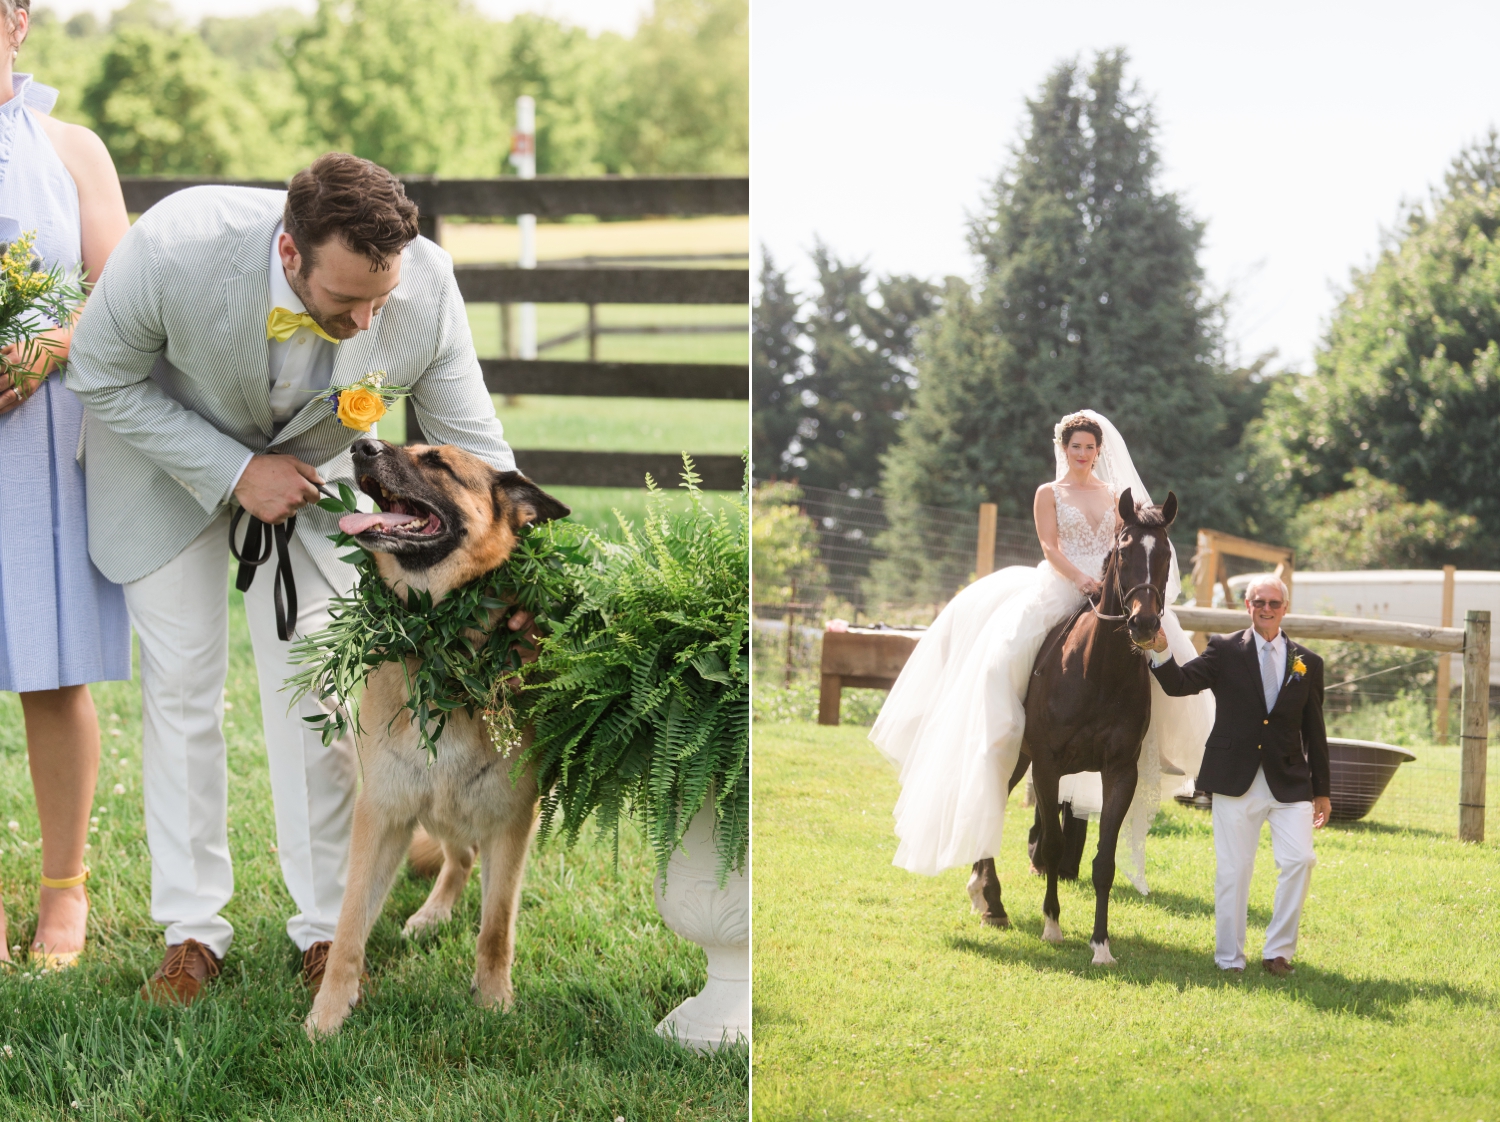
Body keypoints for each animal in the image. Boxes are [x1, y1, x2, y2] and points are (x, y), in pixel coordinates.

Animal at [303, 435, 567, 1032]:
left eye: (438, 463)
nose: (361, 445)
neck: (440, 647)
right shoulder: (382, 815)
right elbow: (349, 924)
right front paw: (330, 1010)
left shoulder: (510, 823)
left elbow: (497, 926)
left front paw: (492, 999)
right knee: (458, 857)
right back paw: (432, 912)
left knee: (468, 861)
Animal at [966, 486, 1176, 966]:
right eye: (1124, 550)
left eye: (1167, 554)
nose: (1144, 624)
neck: (1098, 671)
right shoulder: (1048, 766)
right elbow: (1053, 845)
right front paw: (1052, 925)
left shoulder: (1120, 772)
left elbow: (1104, 860)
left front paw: (1101, 945)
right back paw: (990, 901)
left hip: (1020, 760)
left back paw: (986, 895)